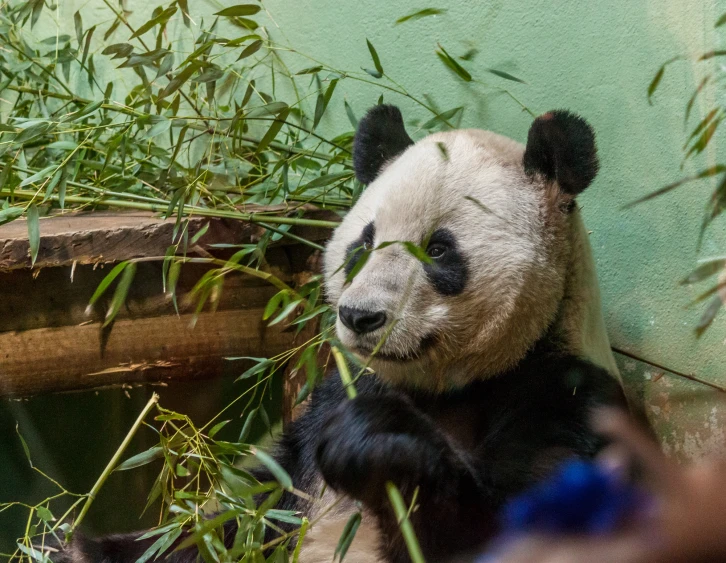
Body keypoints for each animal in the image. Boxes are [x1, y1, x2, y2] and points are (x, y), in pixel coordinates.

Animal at [54, 104, 628, 560]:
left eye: (437, 250)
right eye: (363, 245)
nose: (360, 317)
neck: (444, 388)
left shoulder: (564, 397)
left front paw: (378, 444)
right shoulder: (323, 411)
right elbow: (237, 517)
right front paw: (84, 546)